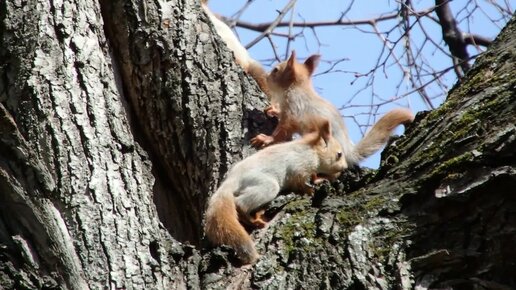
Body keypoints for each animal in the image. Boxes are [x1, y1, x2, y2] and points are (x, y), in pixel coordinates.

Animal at [204, 116, 344, 264]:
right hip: (265, 185)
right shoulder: (299, 167)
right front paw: (311, 190)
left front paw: (318, 179)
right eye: (339, 154)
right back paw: (254, 220)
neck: (312, 151)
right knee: (240, 203)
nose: (344, 167)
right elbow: (300, 183)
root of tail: (231, 181)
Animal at [250, 51, 416, 171]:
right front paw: (273, 109)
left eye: (276, 70)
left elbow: (281, 132)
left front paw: (265, 138)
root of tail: (348, 152)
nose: (265, 76)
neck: (296, 90)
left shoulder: (293, 113)